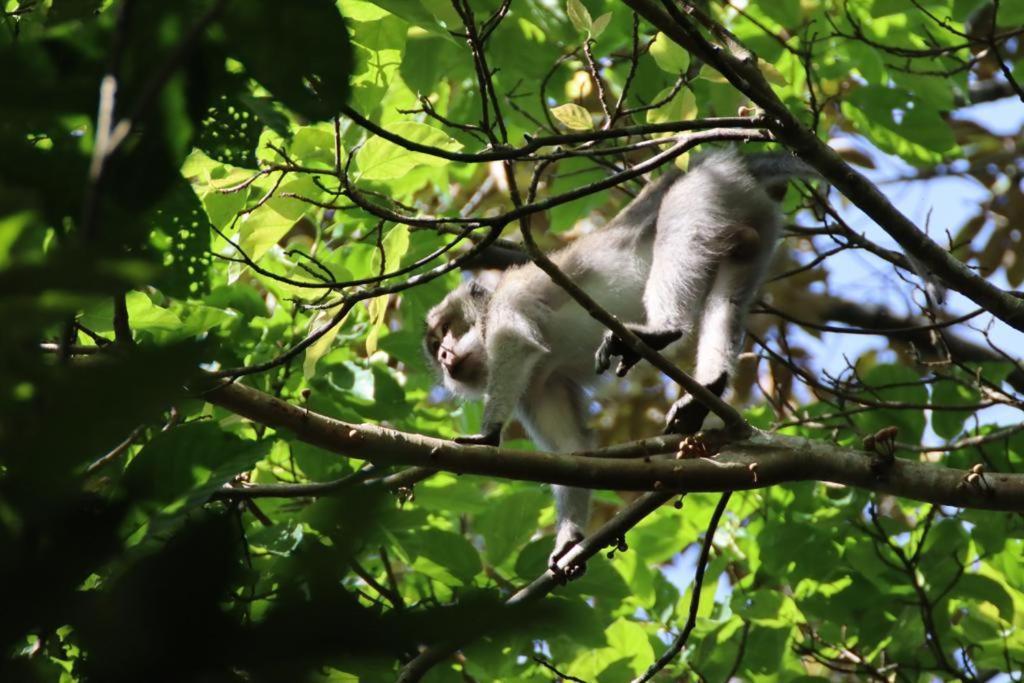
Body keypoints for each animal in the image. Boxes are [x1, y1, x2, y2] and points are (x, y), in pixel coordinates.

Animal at [419, 149, 811, 577]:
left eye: (446, 330)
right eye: (435, 345)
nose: (443, 355)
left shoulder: (511, 300)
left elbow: (515, 343)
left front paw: (488, 435)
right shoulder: (540, 386)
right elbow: (572, 450)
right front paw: (568, 540)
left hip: (708, 189)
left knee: (677, 224)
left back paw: (661, 330)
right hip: (756, 219)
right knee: (730, 293)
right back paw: (710, 384)